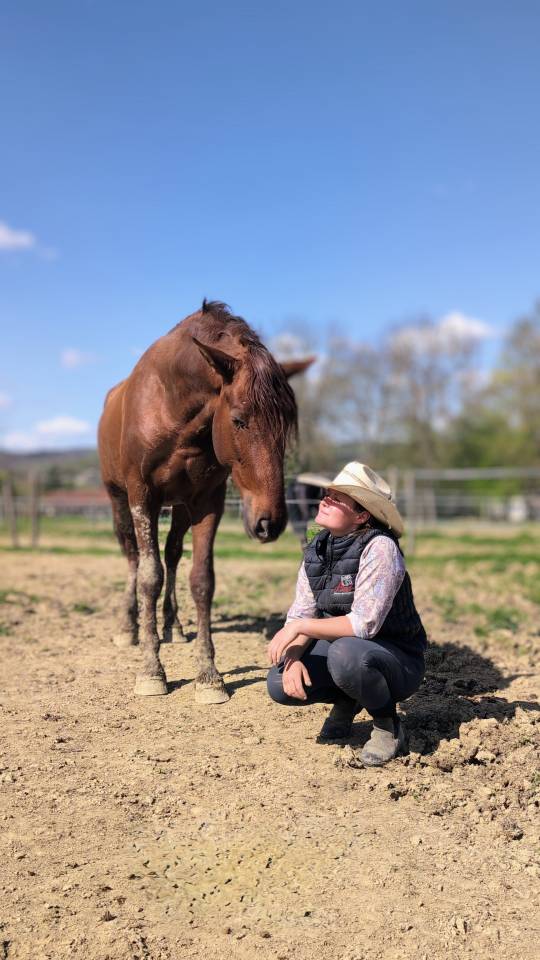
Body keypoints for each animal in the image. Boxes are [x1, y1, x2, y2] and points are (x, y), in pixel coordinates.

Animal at [98, 300, 312, 704]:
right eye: (239, 420)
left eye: (288, 424)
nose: (270, 522)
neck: (171, 406)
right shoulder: (142, 497)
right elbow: (149, 577)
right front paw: (151, 671)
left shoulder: (206, 501)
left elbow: (201, 580)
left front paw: (209, 676)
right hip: (119, 500)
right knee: (133, 558)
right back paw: (127, 627)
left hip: (180, 507)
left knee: (172, 556)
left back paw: (174, 626)